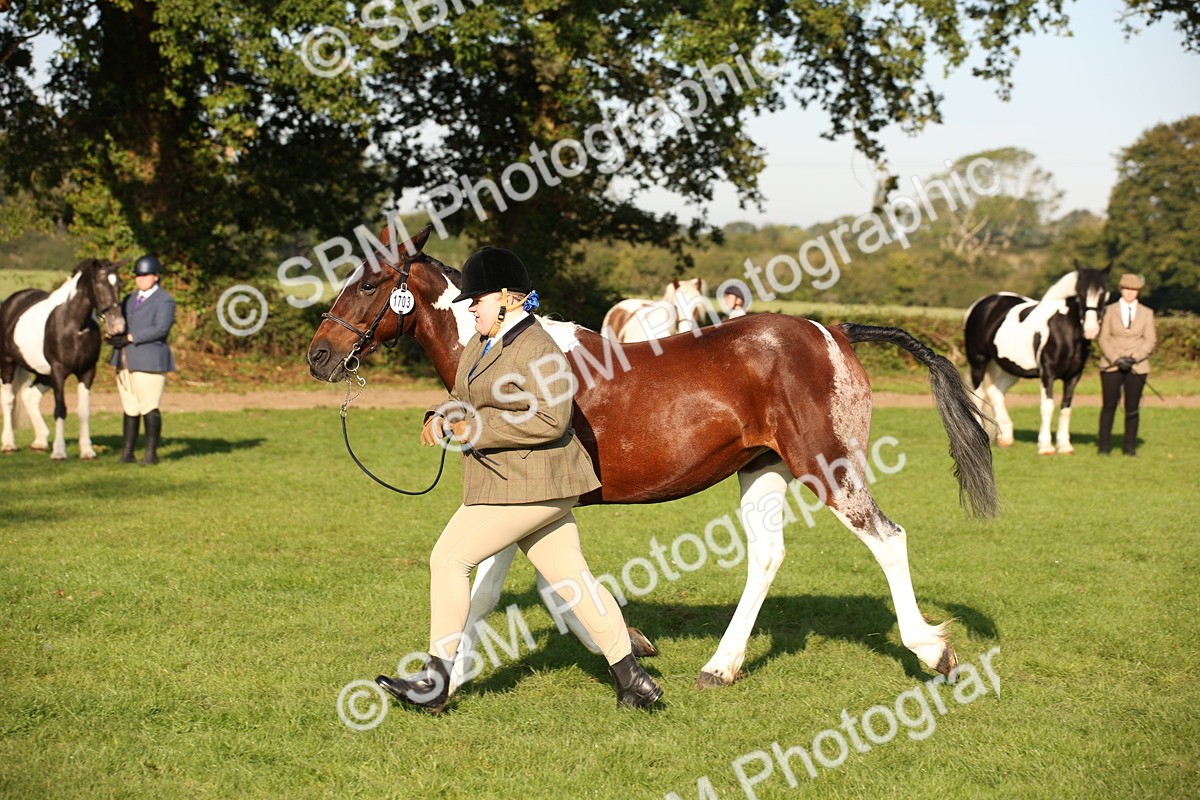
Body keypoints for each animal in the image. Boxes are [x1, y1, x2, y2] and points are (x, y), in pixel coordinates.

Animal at [1, 259, 127, 460]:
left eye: (120, 284)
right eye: (99, 284)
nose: (118, 326)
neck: (74, 325)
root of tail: (12, 301)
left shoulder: (87, 372)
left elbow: (83, 411)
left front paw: (87, 451)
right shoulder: (59, 371)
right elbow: (60, 408)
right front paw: (59, 451)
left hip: (43, 372)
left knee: (29, 396)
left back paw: (40, 442)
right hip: (7, 363)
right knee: (8, 400)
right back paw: (8, 444)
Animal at [307, 226, 997, 695]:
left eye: (368, 283)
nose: (319, 356)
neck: (501, 353)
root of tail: (835, 332)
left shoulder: (526, 496)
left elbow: (496, 589)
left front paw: (446, 680)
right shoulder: (533, 502)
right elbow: (530, 585)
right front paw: (627, 644)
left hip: (827, 466)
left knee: (886, 538)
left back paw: (931, 651)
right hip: (762, 469)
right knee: (767, 556)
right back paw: (721, 666)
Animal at [964, 264, 1110, 455]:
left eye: (1104, 292)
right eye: (1080, 292)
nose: (1091, 329)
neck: (1062, 329)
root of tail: (983, 303)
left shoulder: (1073, 377)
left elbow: (1066, 408)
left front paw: (1064, 445)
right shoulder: (1047, 374)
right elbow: (1047, 407)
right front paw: (1046, 446)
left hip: (1009, 368)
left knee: (995, 392)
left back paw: (1006, 438)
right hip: (978, 361)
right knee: (978, 395)